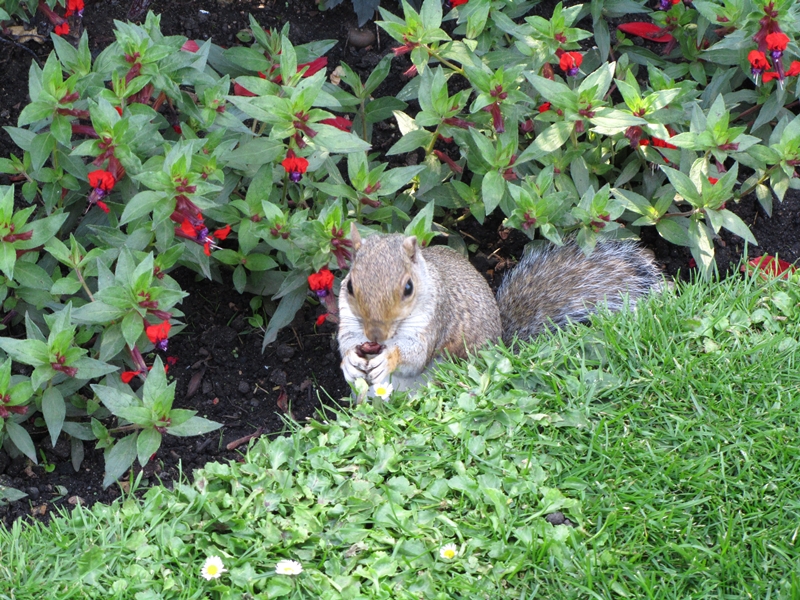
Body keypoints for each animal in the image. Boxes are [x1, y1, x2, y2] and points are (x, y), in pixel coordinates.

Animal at [336, 225, 664, 390]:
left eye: (408, 288)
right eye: (350, 285)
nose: (376, 336)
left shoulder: (435, 318)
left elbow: (414, 356)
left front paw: (388, 358)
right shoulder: (349, 321)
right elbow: (346, 343)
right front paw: (350, 361)